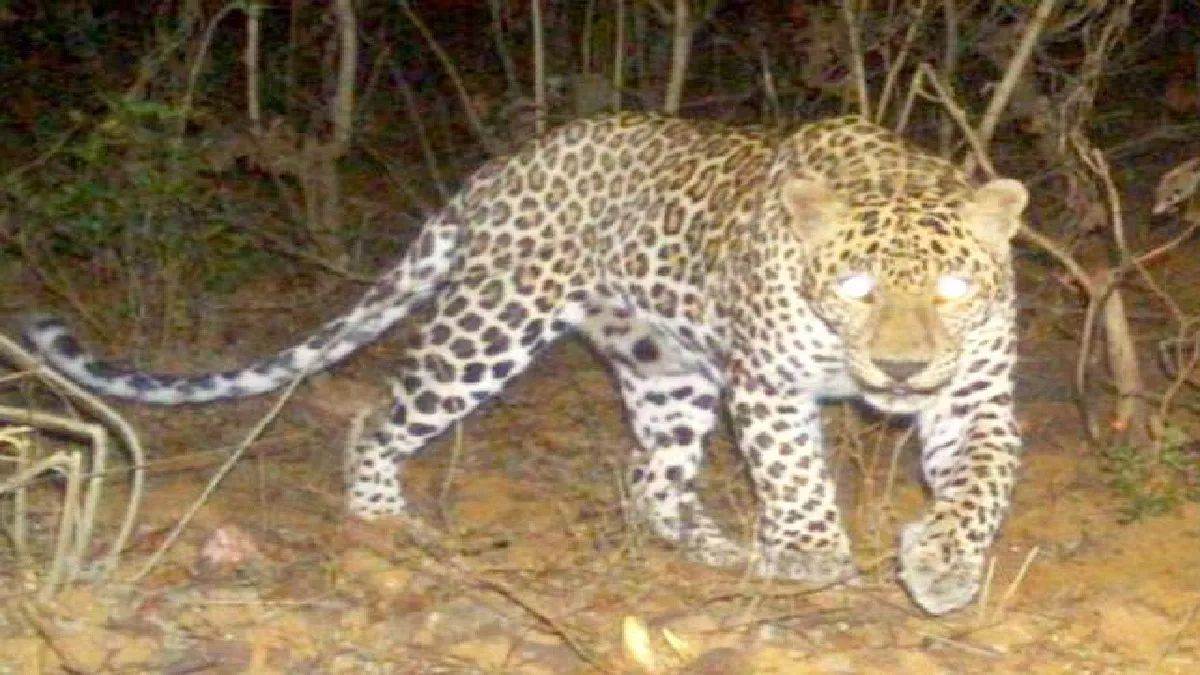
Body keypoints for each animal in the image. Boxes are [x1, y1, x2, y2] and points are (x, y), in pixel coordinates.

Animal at [24, 113, 1029, 615]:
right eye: (855, 286)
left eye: (951, 288)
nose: (899, 370)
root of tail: (505, 166)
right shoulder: (771, 384)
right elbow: (795, 476)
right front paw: (818, 556)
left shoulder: (975, 398)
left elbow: (981, 484)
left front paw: (941, 564)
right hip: (490, 324)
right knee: (381, 413)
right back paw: (382, 521)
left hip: (667, 368)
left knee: (651, 480)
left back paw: (719, 546)